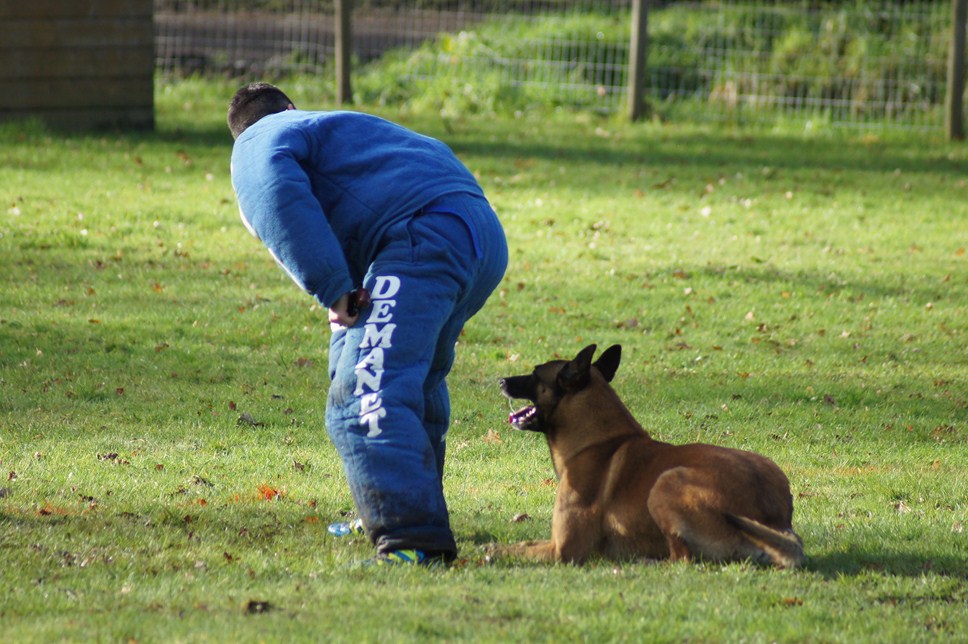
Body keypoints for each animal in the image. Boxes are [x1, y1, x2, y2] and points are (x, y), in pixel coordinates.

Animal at [496, 344, 804, 568]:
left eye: (535, 374)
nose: (500, 380)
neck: (598, 441)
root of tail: (775, 521)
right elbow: (521, 544)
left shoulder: (564, 550)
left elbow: (510, 549)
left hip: (665, 483)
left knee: (681, 559)